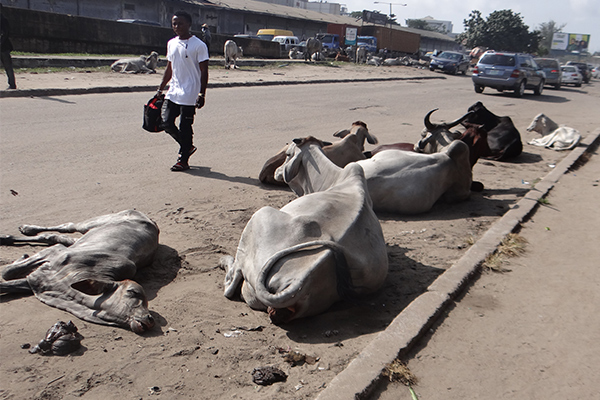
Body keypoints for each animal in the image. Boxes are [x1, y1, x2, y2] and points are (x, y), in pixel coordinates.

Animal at [220, 138, 390, 324]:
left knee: (231, 282)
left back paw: (224, 261)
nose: (277, 171)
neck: (335, 180)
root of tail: (300, 280)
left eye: (288, 154)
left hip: (259, 218)